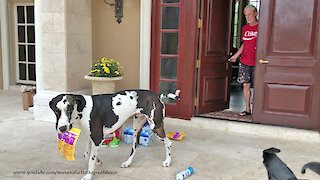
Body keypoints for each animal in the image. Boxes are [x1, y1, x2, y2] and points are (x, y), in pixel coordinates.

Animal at [49, 89, 180, 179]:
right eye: (56, 111)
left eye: (69, 109)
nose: (62, 128)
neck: (83, 109)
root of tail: (157, 96)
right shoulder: (91, 138)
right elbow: (87, 155)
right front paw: (97, 162)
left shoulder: (97, 138)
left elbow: (90, 159)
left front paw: (89, 175)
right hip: (136, 128)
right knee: (135, 145)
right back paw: (128, 162)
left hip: (155, 126)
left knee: (168, 143)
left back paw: (168, 161)